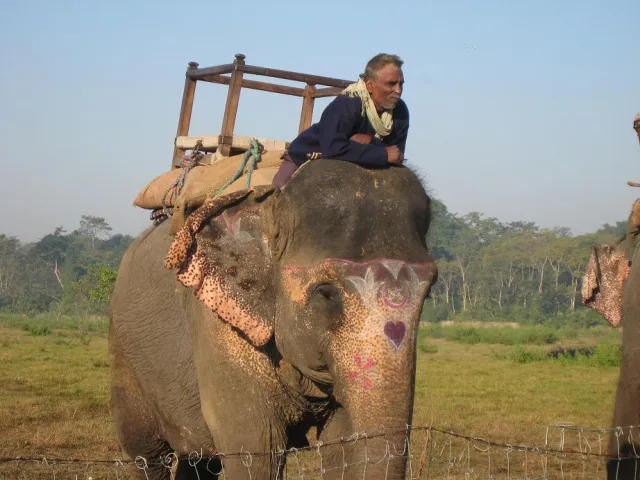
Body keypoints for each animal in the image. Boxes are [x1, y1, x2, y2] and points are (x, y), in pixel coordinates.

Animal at [108, 158, 439, 480]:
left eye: (428, 292)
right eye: (326, 295)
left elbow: (342, 444)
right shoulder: (218, 321)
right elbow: (256, 447)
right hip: (124, 352)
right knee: (148, 455)